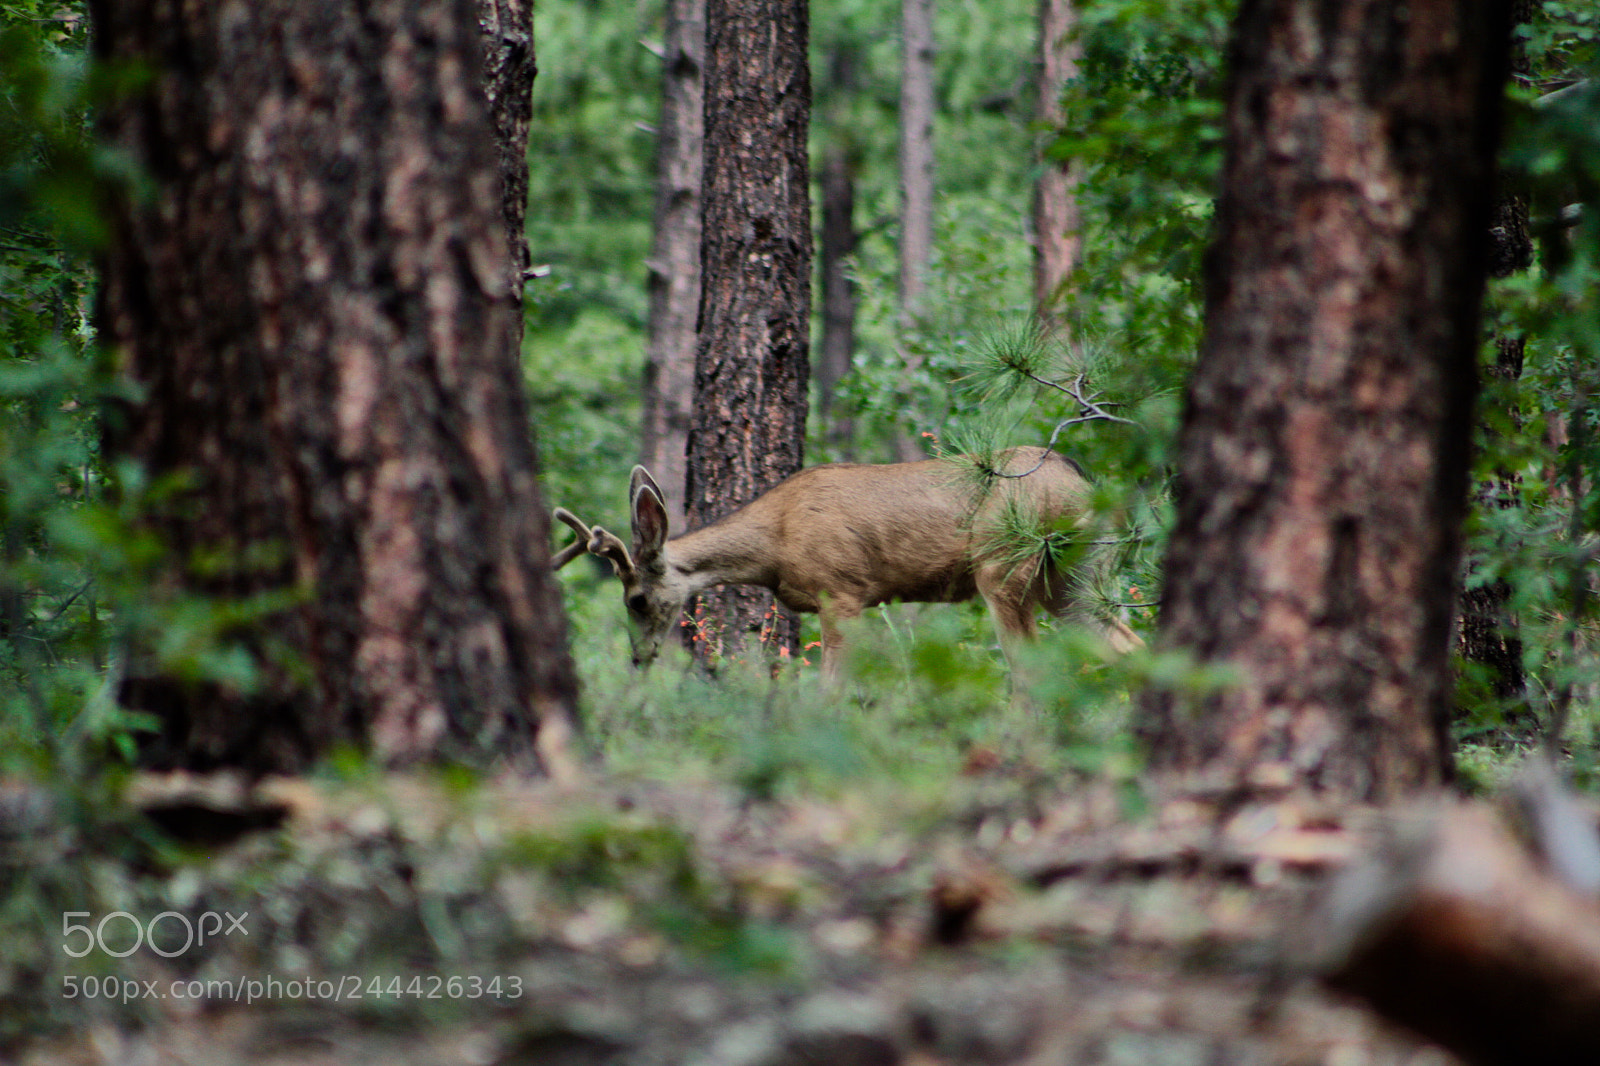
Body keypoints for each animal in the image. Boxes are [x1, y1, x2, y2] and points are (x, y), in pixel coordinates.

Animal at [549, 446, 1141, 686]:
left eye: (635, 599)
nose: (639, 657)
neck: (776, 541)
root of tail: (1085, 480)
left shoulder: (844, 591)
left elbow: (829, 692)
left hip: (1003, 569)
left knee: (1031, 667)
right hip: (1075, 579)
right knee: (1128, 644)